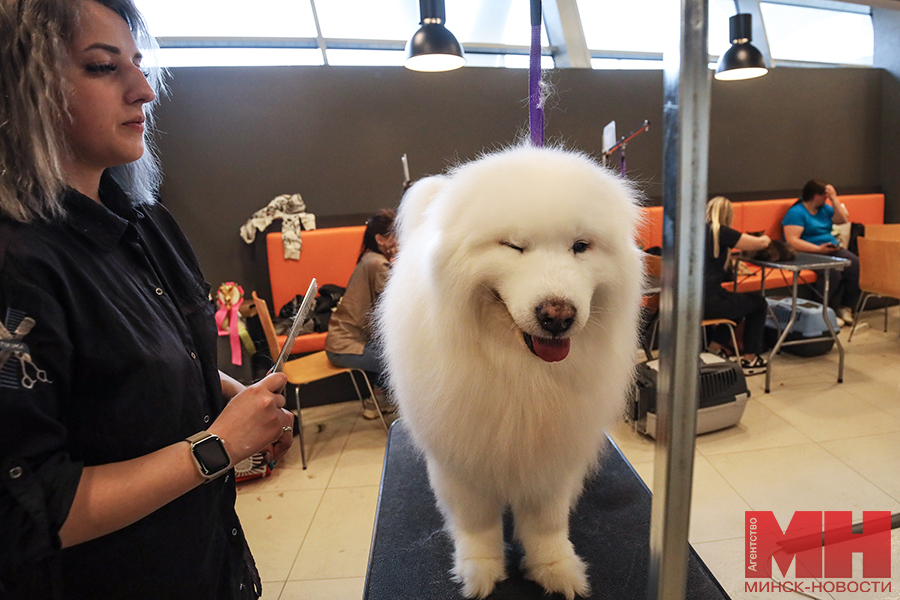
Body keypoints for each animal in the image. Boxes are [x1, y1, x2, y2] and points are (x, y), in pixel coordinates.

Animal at [376, 146, 644, 600]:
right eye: (514, 246)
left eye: (581, 246)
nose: (558, 315)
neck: (522, 370)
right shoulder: (463, 458)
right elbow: (476, 523)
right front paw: (480, 569)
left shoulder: (551, 458)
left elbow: (547, 523)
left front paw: (555, 569)